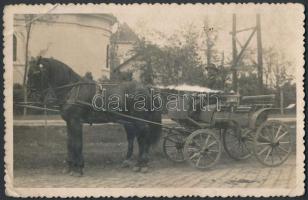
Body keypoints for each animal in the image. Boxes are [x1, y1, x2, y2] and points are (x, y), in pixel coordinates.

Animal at [27, 56, 162, 177]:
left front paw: (79, 168)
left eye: (36, 73)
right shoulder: (69, 122)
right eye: (28, 73)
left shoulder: (76, 121)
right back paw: (134, 163)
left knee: (144, 137)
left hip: (139, 121)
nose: (31, 95)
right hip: (130, 121)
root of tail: (146, 87)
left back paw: (142, 164)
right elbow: (70, 143)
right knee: (137, 138)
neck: (72, 90)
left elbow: (77, 144)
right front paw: (70, 167)